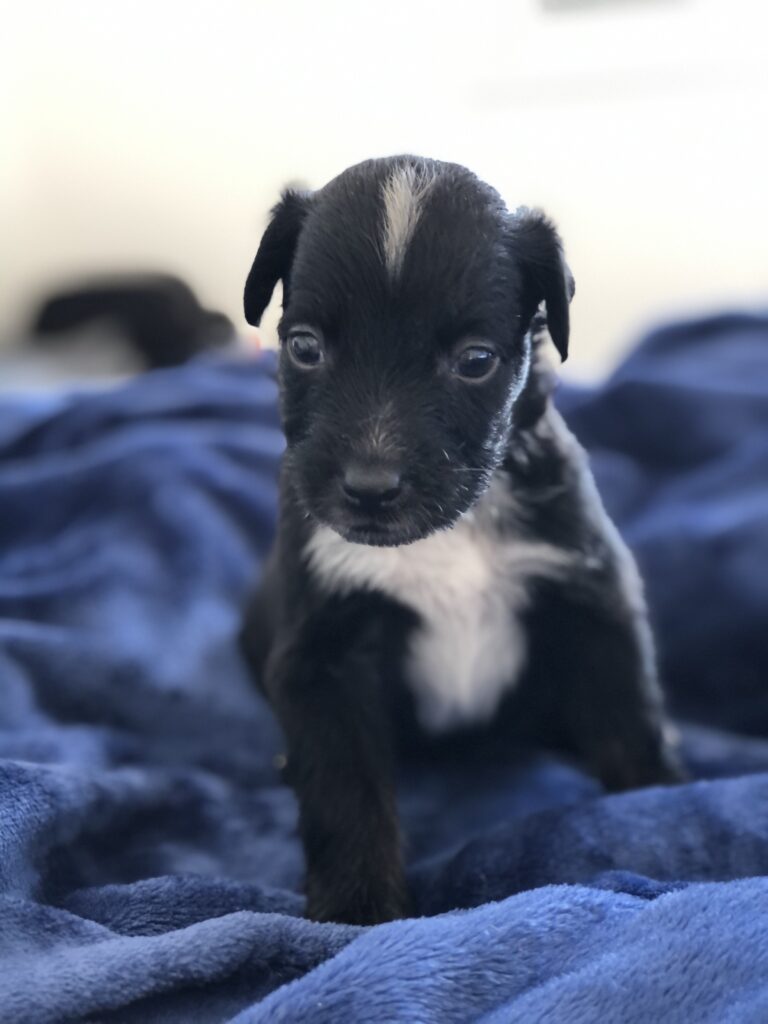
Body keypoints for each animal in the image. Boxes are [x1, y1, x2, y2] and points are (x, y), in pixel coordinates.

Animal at [241, 153, 684, 929]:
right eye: (304, 347)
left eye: (475, 360)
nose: (369, 485)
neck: (452, 529)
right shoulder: (324, 654)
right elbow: (344, 792)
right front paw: (360, 912)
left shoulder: (587, 592)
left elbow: (630, 718)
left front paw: (656, 799)